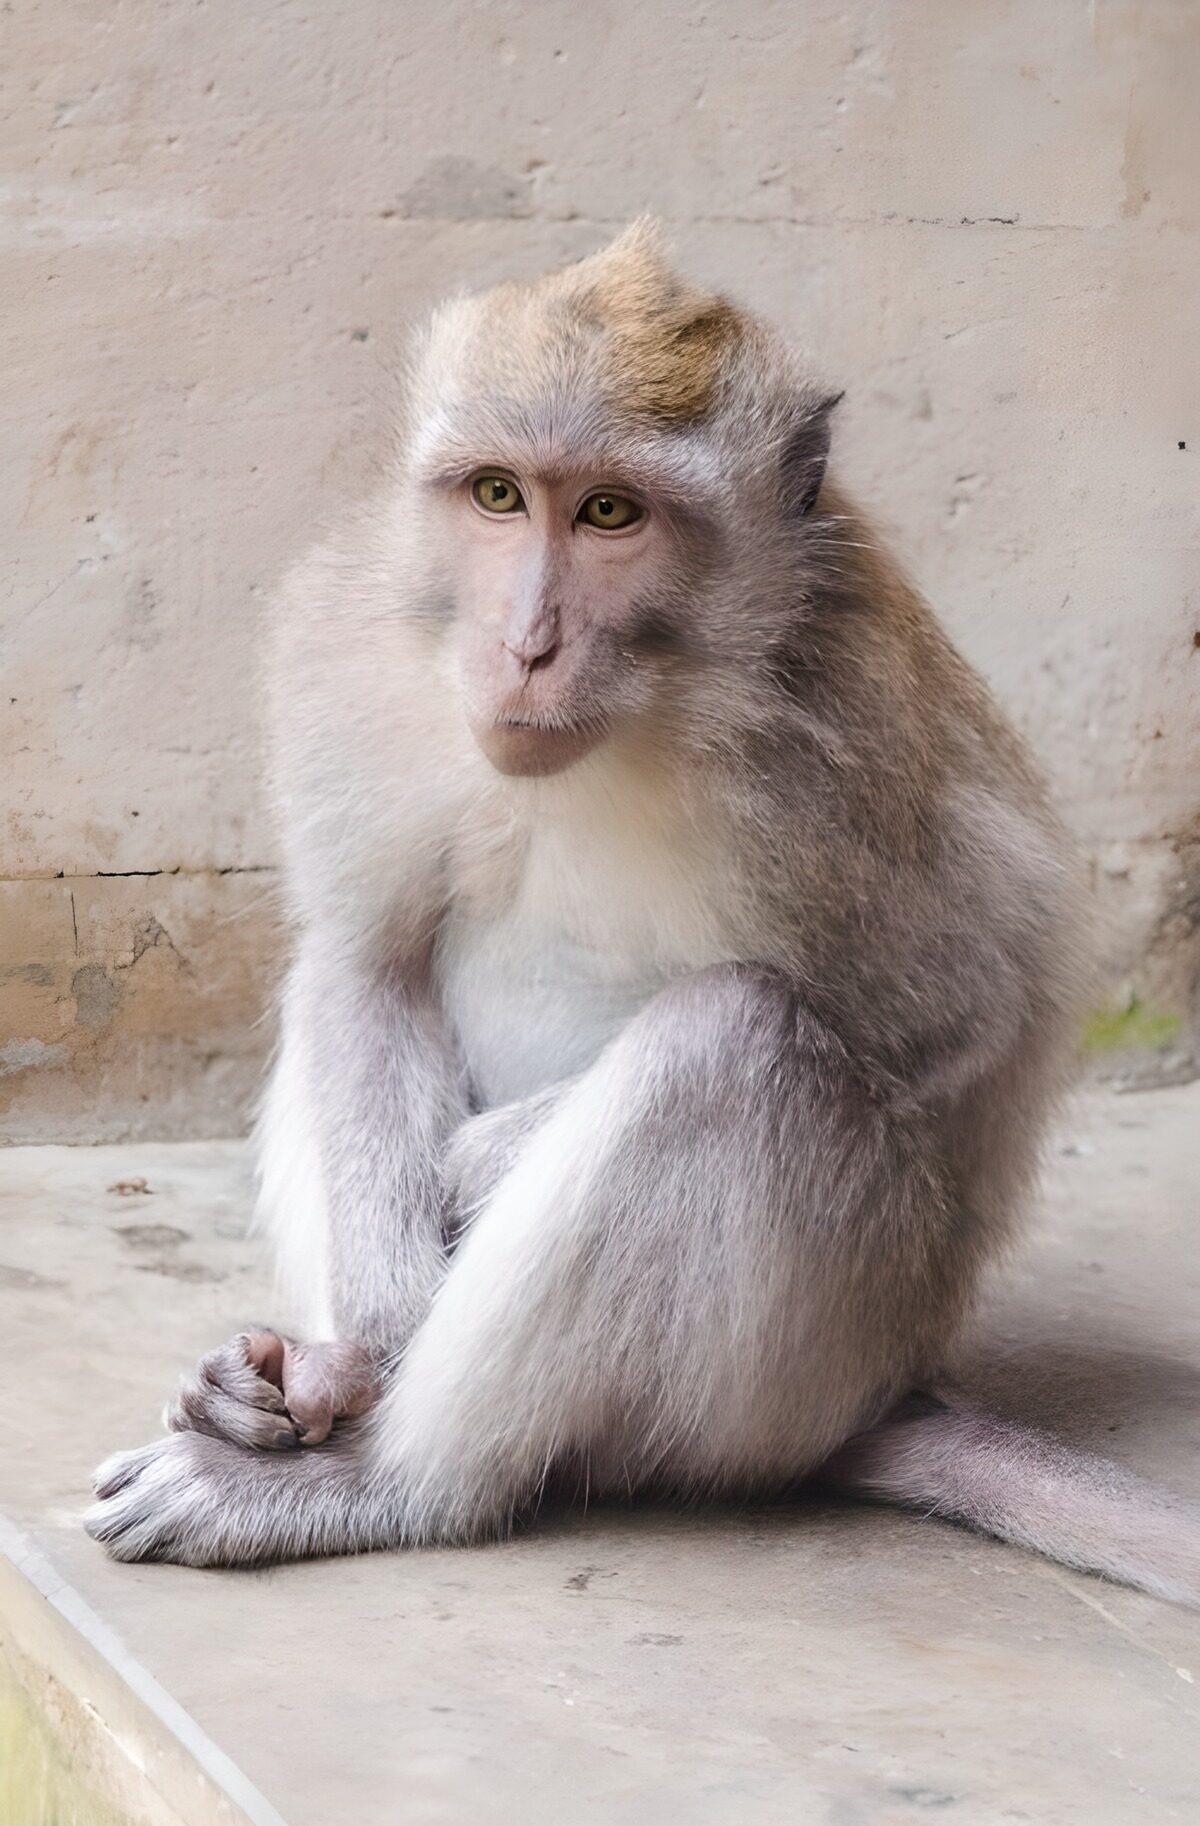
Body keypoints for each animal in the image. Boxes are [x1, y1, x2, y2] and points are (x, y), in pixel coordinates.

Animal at [87, 222, 1200, 1604]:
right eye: (498, 495)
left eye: (610, 512)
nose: (524, 644)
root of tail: (881, 1398)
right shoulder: (350, 648)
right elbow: (367, 959)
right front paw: (369, 1335)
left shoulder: (839, 759)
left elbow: (963, 1014)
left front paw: (469, 1172)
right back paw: (276, 1389)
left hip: (801, 1362)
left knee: (732, 1039)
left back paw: (390, 1482)